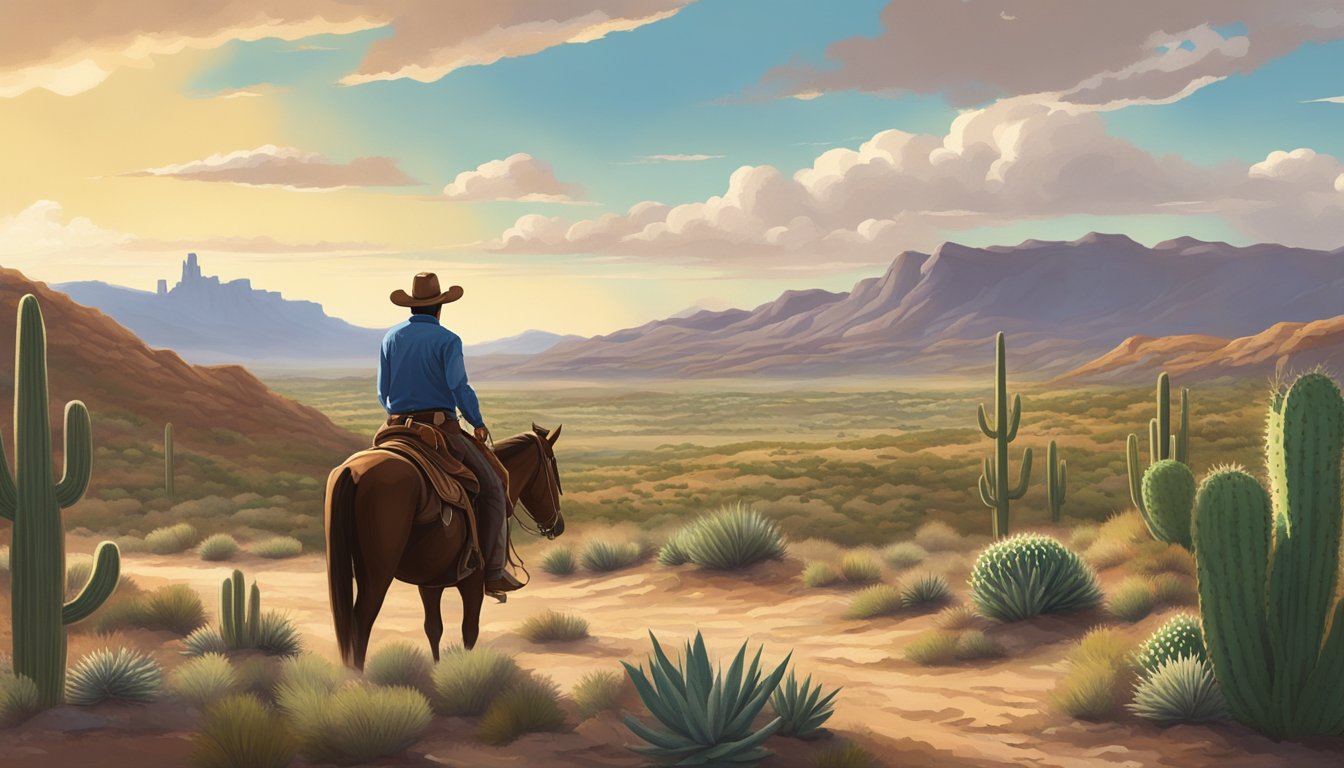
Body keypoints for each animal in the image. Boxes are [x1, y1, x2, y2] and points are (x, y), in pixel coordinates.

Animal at [327, 425, 564, 669]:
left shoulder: (430, 583)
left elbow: (433, 629)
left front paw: (437, 669)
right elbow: (469, 632)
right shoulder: (473, 581)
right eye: (552, 466)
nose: (558, 525)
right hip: (377, 574)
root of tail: (352, 471)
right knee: (361, 622)